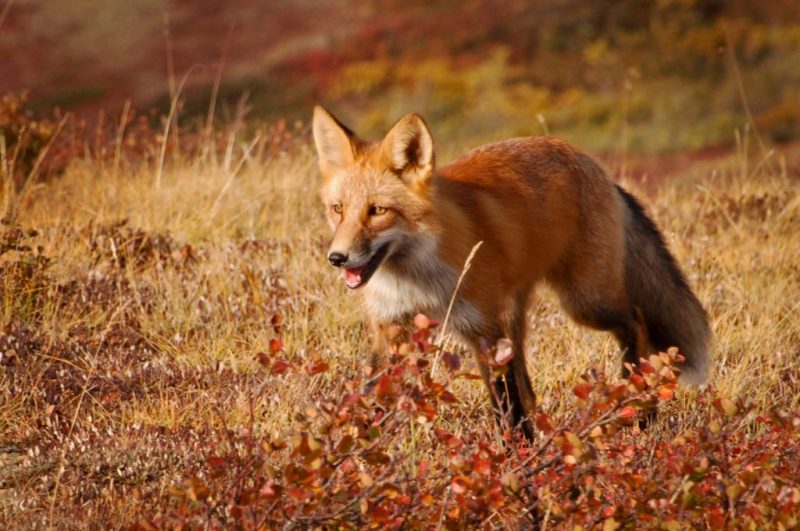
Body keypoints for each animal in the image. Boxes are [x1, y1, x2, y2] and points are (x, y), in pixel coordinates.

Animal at [312, 106, 711, 439]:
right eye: (337, 209)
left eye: (378, 211)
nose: (337, 257)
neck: (414, 279)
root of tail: (594, 165)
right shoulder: (391, 327)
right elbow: (371, 394)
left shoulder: (483, 329)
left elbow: (505, 406)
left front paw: (516, 460)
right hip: (520, 312)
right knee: (529, 385)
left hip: (585, 301)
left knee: (636, 322)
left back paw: (639, 405)